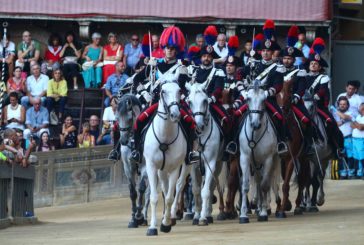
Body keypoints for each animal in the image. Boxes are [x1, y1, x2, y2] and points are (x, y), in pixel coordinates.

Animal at [143, 76, 188, 235]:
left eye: (179, 91)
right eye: (163, 91)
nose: (175, 115)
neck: (165, 137)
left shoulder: (175, 168)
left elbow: (169, 197)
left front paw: (166, 224)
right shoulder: (151, 166)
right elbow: (154, 197)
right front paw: (152, 227)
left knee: (178, 186)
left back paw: (171, 216)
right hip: (161, 170)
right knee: (164, 186)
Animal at [186, 82, 226, 226]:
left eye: (205, 101)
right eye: (189, 101)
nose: (199, 125)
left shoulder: (211, 163)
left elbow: (205, 191)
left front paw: (203, 217)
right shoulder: (193, 165)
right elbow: (196, 190)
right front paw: (196, 215)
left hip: (218, 164)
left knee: (212, 185)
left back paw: (208, 214)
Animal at [240, 81, 280, 224]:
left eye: (264, 100)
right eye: (248, 98)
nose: (255, 124)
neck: (255, 135)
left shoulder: (268, 159)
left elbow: (265, 185)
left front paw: (263, 212)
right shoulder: (245, 158)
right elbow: (245, 185)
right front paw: (243, 215)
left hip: (273, 160)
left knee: (266, 181)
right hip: (255, 162)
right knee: (257, 180)